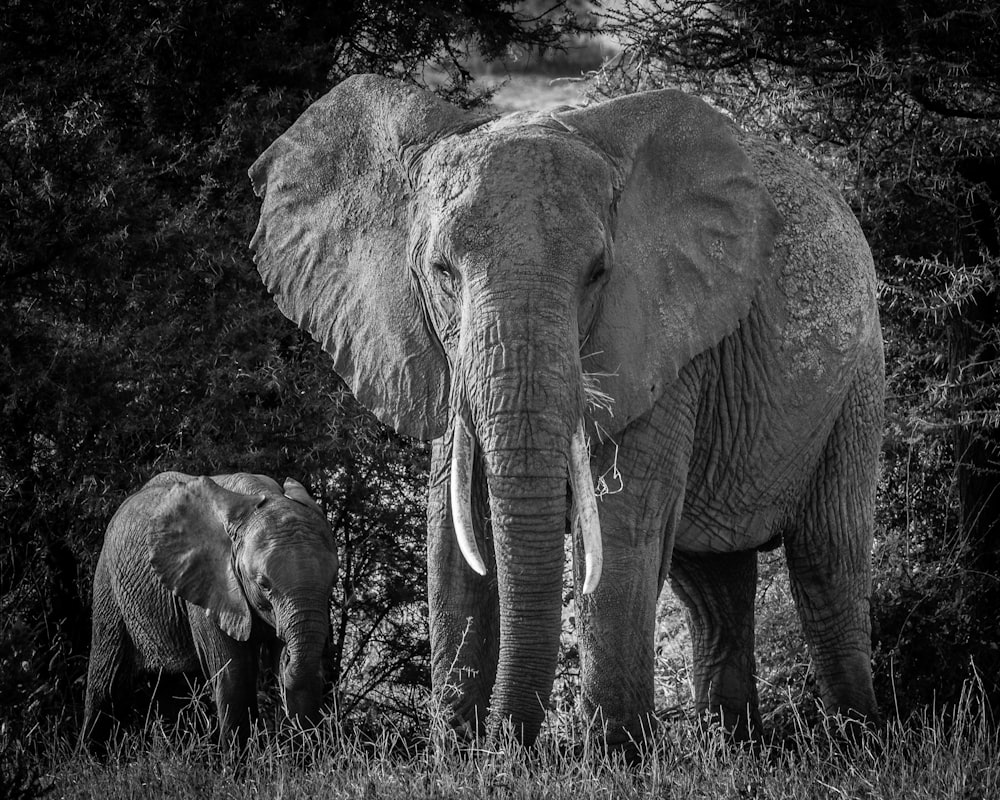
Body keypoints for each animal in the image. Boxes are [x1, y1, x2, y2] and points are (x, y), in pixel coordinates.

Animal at [82, 472, 340, 748]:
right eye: (264, 584)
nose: (288, 657)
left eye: (332, 582)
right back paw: (88, 755)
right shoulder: (208, 585)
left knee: (173, 689)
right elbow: (235, 675)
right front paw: (239, 759)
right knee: (106, 685)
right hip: (109, 588)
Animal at [248, 72, 884, 748]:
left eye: (599, 273)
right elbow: (452, 533)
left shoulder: (662, 336)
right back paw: (737, 748)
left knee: (826, 560)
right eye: (441, 271)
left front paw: (613, 757)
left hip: (858, 380)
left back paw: (857, 743)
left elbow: (623, 526)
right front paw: (460, 753)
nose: (512, 744)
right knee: (712, 589)